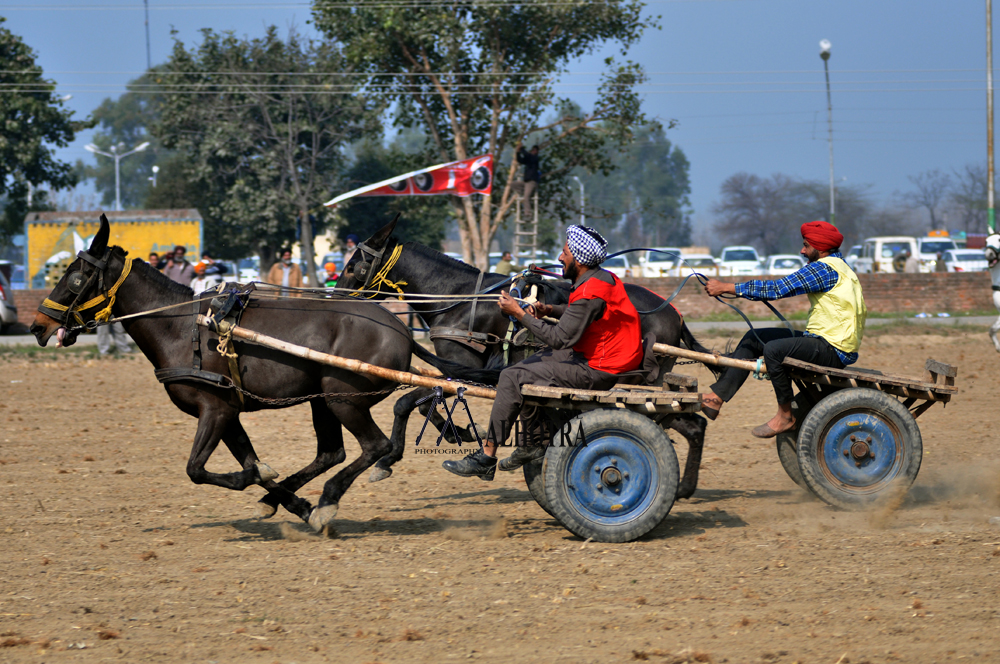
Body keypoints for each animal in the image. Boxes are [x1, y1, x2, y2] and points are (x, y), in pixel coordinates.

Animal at [30, 215, 430, 532]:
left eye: (76, 278)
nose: (37, 326)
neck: (182, 328)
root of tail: (401, 329)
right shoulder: (229, 413)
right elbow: (246, 461)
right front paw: (293, 503)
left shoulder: (215, 410)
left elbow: (200, 469)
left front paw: (271, 481)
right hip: (321, 399)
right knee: (332, 453)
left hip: (342, 398)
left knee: (376, 446)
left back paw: (329, 500)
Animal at [340, 218, 716, 498]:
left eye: (353, 265)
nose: (336, 296)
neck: (461, 299)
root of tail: (674, 313)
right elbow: (421, 405)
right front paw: (461, 432)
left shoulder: (467, 369)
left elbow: (407, 402)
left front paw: (388, 458)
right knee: (692, 424)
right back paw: (685, 487)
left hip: (641, 383)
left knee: (681, 421)